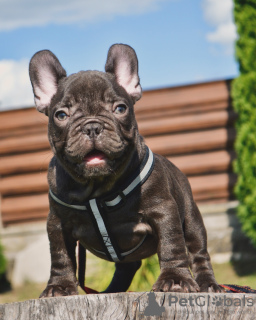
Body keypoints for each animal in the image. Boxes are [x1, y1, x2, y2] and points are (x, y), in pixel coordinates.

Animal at [29, 43, 222, 298]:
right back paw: (110, 291)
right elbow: (61, 256)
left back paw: (208, 284)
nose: (92, 126)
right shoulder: (58, 223)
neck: (97, 189)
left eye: (120, 108)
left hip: (191, 220)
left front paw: (175, 280)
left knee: (198, 252)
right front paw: (59, 286)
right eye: (61, 115)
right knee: (127, 267)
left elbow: (172, 244)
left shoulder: (164, 210)